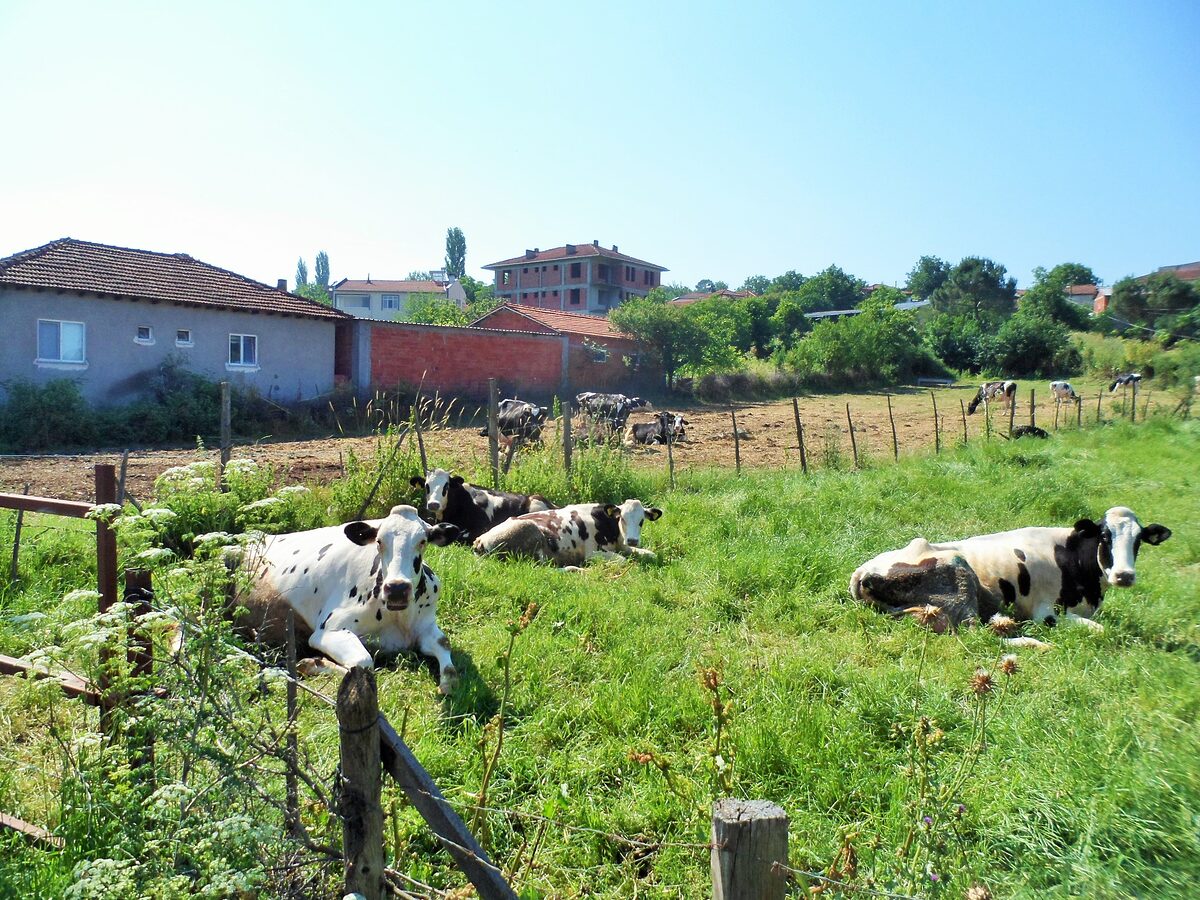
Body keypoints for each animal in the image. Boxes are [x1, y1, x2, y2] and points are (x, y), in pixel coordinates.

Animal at [231, 508, 460, 696]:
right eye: (379, 542)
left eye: (422, 541)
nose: (397, 589)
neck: (398, 618)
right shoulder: (328, 630)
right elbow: (363, 664)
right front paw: (313, 663)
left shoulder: (425, 624)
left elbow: (445, 647)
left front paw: (447, 684)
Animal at [470, 501, 667, 571]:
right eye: (623, 518)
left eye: (641, 521)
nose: (633, 539)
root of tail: (479, 539)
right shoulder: (593, 554)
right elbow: (622, 560)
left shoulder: (622, 545)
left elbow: (651, 554)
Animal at [854, 508, 1171, 643]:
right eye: (1105, 537)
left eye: (1139, 540)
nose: (1124, 575)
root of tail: (860, 572)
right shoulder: (1046, 613)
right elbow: (1102, 630)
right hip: (959, 575)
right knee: (975, 637)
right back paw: (1032, 641)